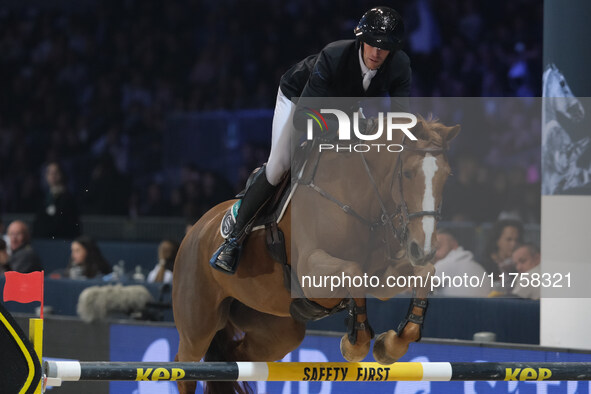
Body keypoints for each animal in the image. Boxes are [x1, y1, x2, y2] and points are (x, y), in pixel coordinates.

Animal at [173, 118, 460, 392]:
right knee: (185, 367)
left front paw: (389, 346)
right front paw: (354, 344)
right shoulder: (313, 273)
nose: (423, 249)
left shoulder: (381, 278)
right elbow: (352, 270)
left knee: (235, 358)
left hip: (278, 328)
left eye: (447, 176)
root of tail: (196, 229)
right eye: (408, 174)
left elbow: (425, 272)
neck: (358, 196)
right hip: (198, 325)